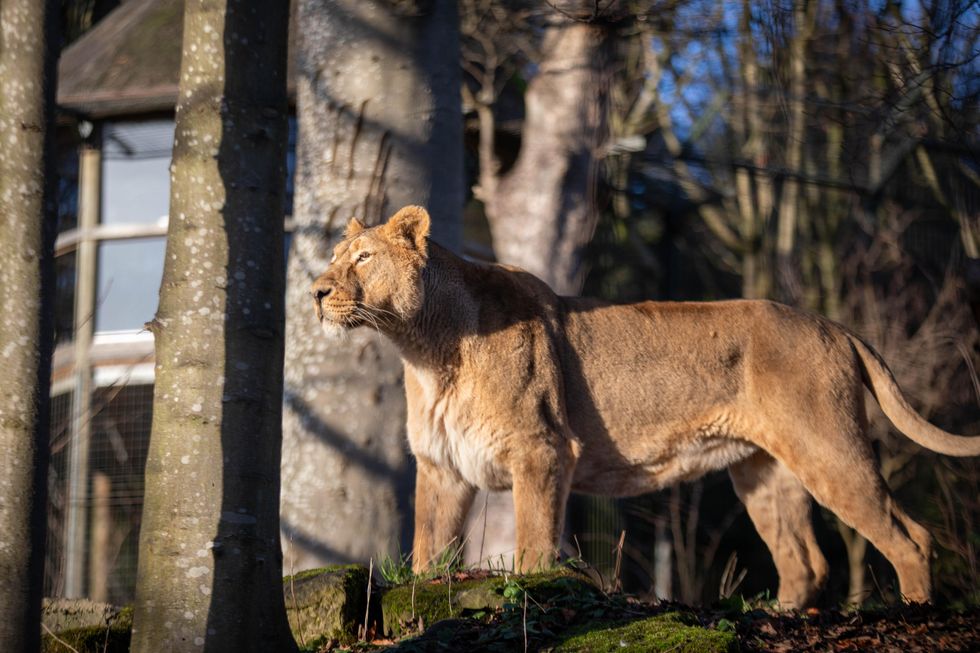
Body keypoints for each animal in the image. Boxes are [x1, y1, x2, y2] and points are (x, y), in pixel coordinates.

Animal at [309, 205, 980, 607]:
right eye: (335, 259)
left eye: (363, 258)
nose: (315, 291)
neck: (427, 352)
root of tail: (835, 326)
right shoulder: (442, 467)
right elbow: (428, 548)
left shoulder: (544, 450)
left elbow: (533, 546)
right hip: (765, 472)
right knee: (805, 561)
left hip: (829, 448)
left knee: (911, 538)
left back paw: (916, 611)